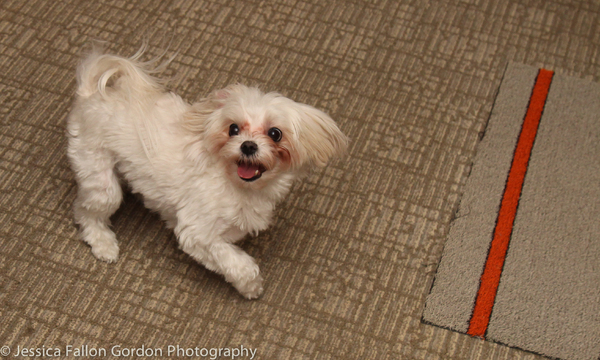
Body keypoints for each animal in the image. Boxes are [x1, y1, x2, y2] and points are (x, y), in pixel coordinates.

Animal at [66, 44, 350, 298]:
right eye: (233, 129)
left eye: (275, 133)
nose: (248, 145)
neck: (237, 185)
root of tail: (90, 95)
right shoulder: (196, 232)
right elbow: (239, 264)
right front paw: (251, 287)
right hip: (101, 181)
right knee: (84, 212)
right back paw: (103, 244)